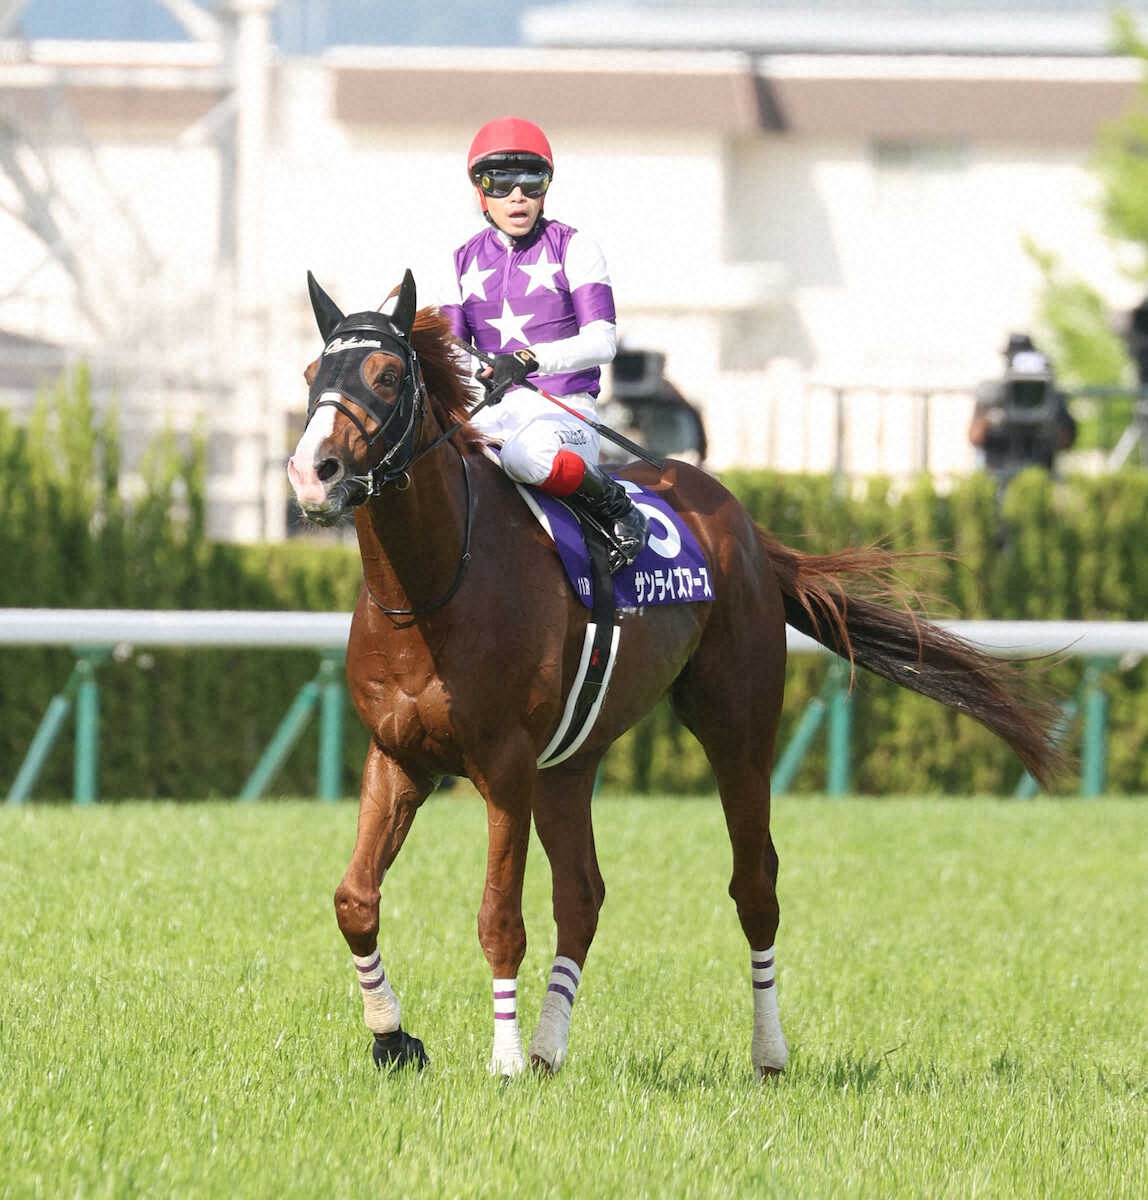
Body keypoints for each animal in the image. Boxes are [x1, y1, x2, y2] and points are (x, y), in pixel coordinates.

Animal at [286, 270, 1061, 1079]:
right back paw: (550, 1048)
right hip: (569, 762)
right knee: (583, 895)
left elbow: (500, 917)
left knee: (755, 885)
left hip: (736, 728)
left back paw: (766, 1052)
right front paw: (393, 1038)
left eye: (387, 375)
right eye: (311, 375)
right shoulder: (399, 754)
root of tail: (741, 521)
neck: (433, 588)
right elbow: (355, 899)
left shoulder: (504, 766)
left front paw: (501, 1062)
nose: (313, 474)